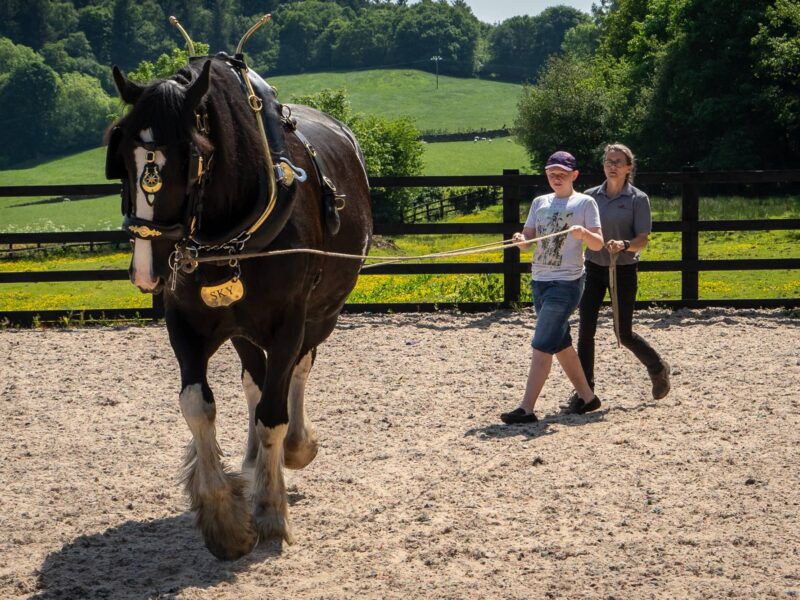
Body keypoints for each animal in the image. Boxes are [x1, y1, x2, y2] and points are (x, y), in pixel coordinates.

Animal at [104, 55, 374, 556]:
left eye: (192, 158)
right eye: (122, 157)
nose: (148, 271)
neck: (225, 234)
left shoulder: (288, 324)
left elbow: (273, 413)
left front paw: (270, 511)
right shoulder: (186, 325)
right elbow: (198, 406)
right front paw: (224, 518)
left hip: (323, 313)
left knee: (296, 372)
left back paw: (295, 445)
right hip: (243, 330)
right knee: (255, 379)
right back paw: (253, 459)